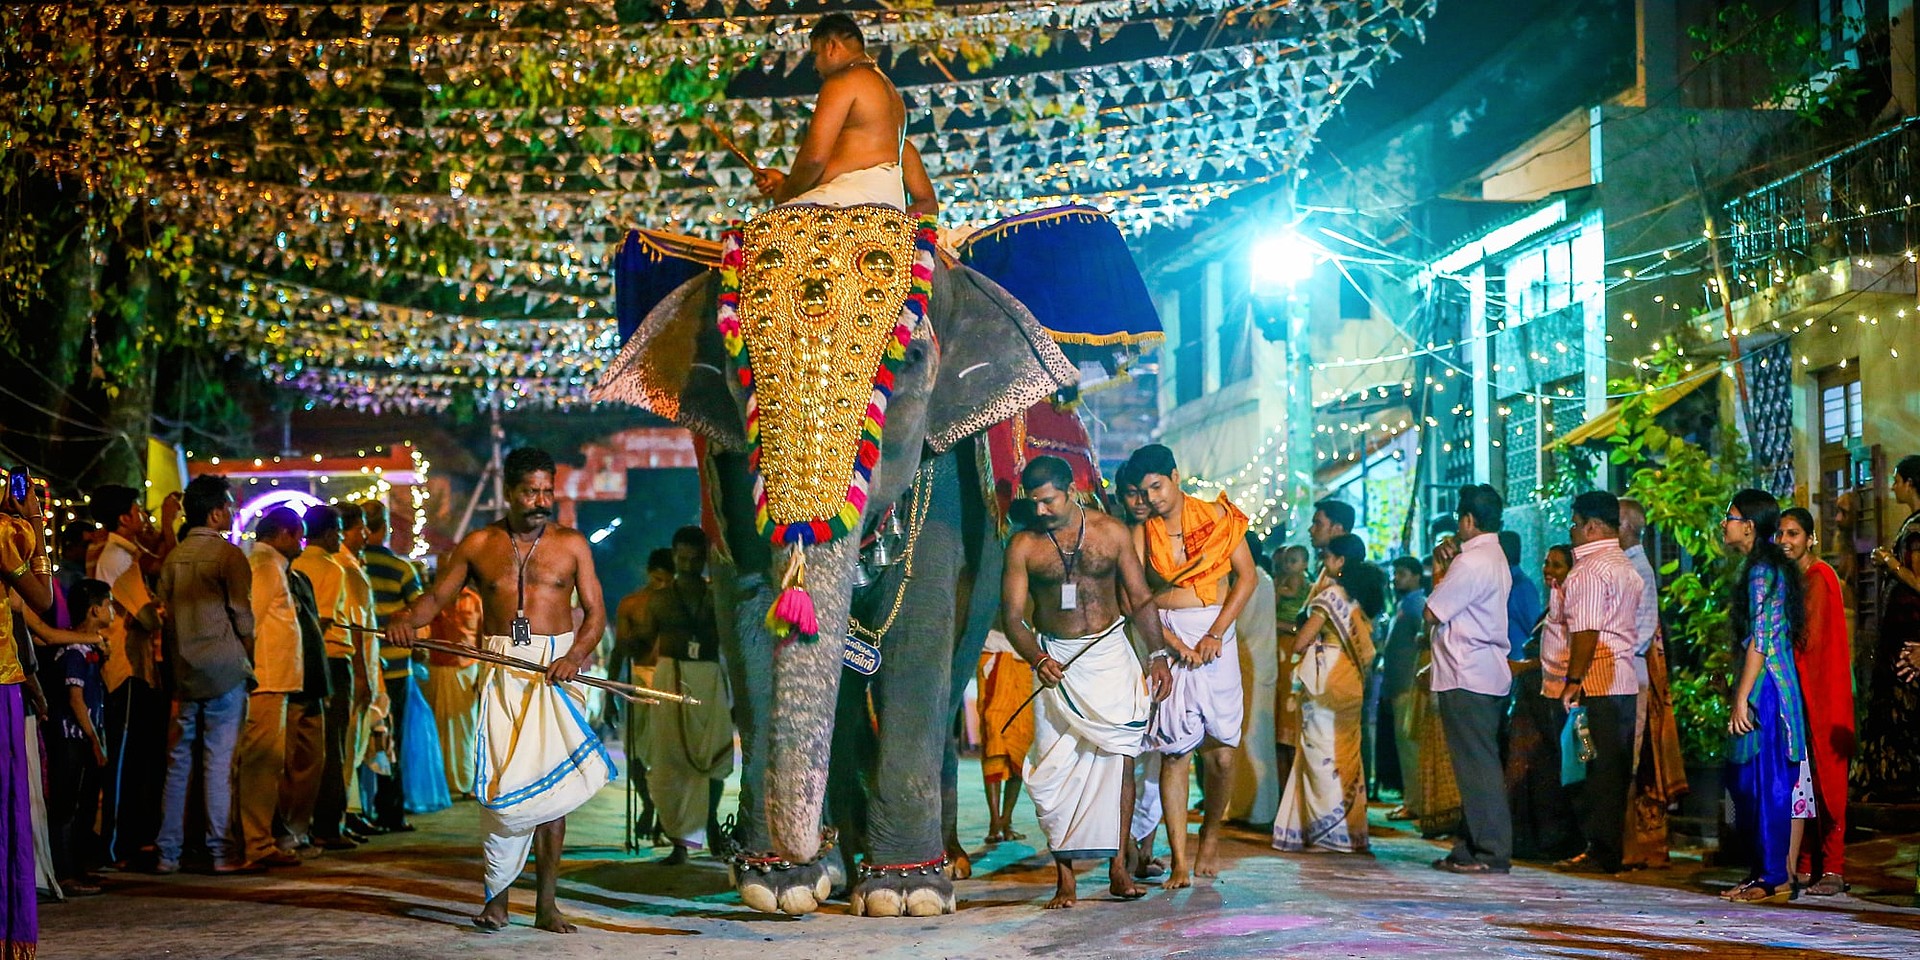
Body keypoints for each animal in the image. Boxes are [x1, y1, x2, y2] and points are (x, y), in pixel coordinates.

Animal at [591, 200, 1144, 913]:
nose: (800, 850)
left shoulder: (949, 478)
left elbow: (921, 627)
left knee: (950, 677)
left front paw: (906, 893)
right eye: (741, 370)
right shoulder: (723, 479)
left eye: (908, 360)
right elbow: (747, 618)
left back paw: (944, 864)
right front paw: (782, 884)